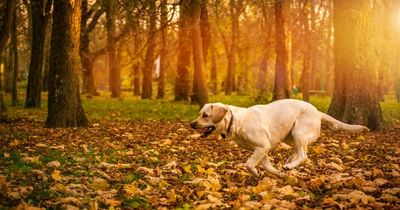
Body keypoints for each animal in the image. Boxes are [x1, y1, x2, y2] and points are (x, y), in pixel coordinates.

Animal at [191, 99, 368, 178]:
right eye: (199, 113)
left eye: (205, 115)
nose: (192, 124)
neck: (236, 121)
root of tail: (317, 111)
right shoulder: (262, 150)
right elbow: (267, 167)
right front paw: (277, 174)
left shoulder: (262, 147)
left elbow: (249, 164)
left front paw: (256, 172)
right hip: (290, 136)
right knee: (302, 152)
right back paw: (289, 161)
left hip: (298, 132)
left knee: (304, 156)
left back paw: (290, 165)